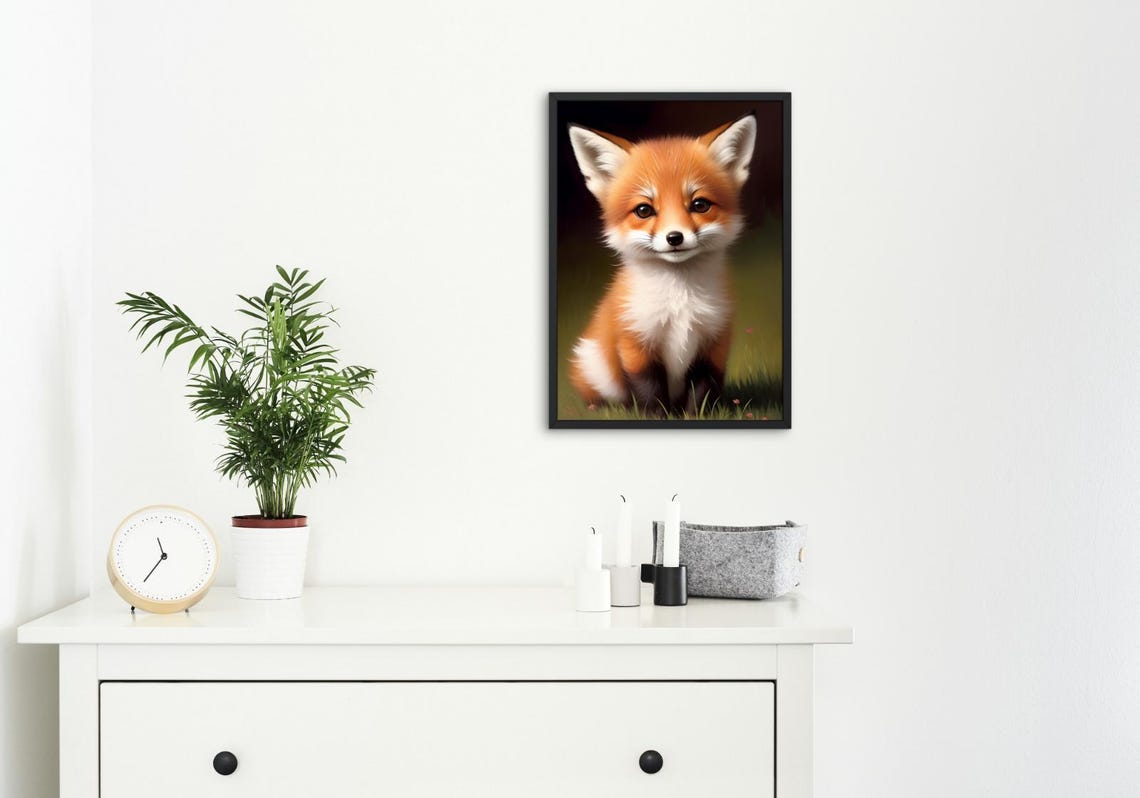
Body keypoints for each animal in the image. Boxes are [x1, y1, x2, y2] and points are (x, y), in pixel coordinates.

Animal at [566, 113, 757, 415]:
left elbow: (700, 395)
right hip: (594, 365)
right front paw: (658, 416)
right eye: (644, 210)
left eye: (700, 205)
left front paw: (694, 417)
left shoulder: (714, 342)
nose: (674, 237)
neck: (679, 304)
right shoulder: (636, 344)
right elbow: (650, 394)